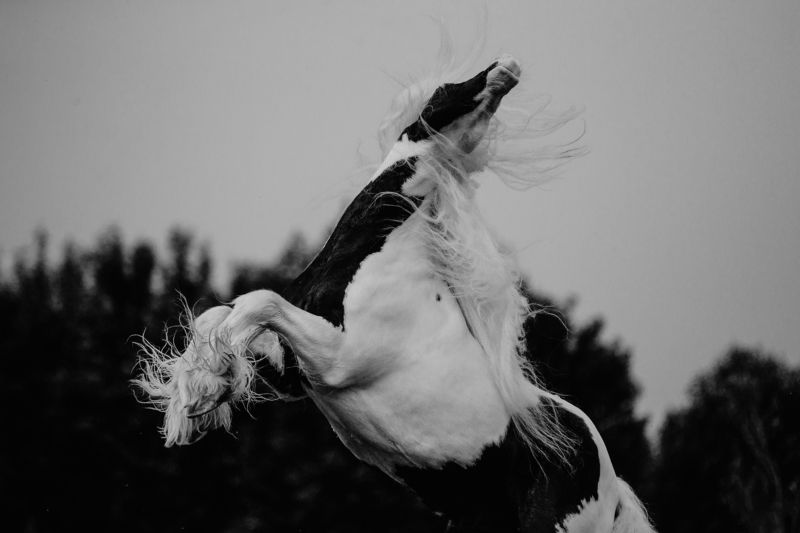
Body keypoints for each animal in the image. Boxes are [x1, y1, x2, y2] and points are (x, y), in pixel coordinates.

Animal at [134, 54, 655, 533]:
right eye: (446, 89)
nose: (507, 68)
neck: (378, 258)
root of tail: (609, 484)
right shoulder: (291, 369)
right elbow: (219, 316)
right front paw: (193, 403)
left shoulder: (336, 357)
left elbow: (256, 301)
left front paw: (197, 399)